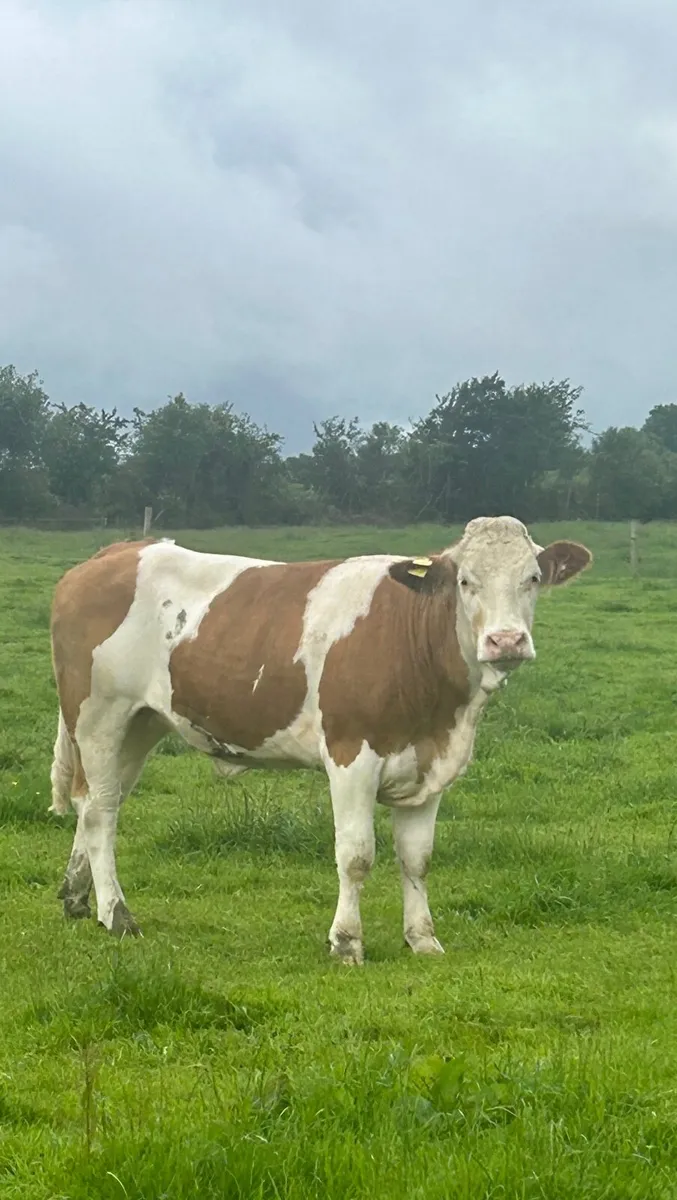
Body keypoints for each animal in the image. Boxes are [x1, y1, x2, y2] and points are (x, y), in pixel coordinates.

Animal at [48, 516, 591, 963]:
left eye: (533, 579)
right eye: (465, 582)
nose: (506, 641)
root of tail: (117, 551)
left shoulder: (431, 766)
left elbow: (417, 857)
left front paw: (422, 938)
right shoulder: (352, 756)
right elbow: (355, 855)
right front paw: (347, 941)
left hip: (142, 724)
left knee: (98, 799)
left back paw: (78, 897)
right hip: (98, 716)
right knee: (100, 810)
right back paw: (116, 914)